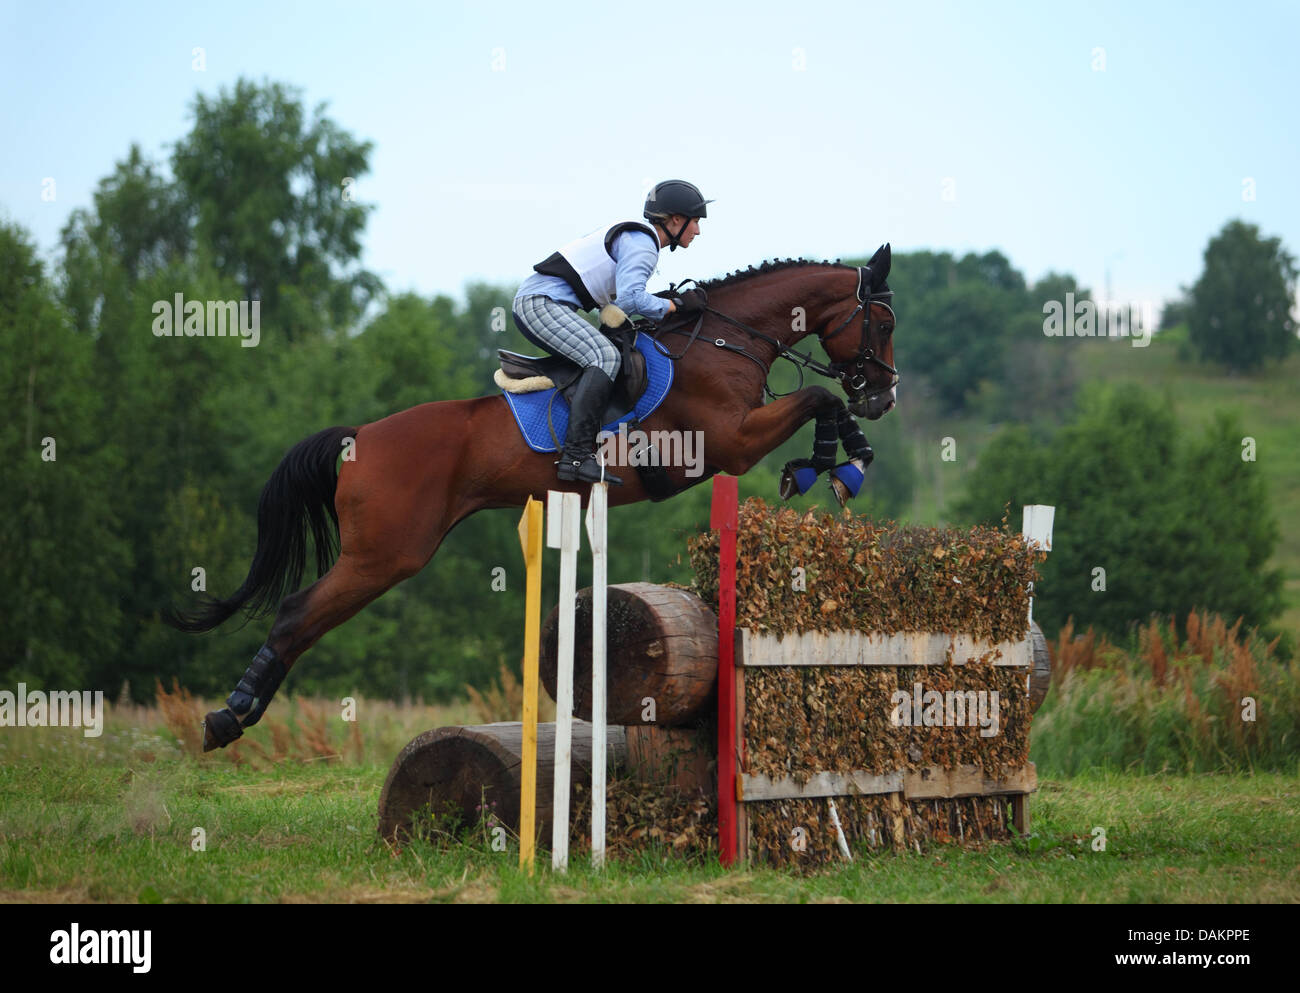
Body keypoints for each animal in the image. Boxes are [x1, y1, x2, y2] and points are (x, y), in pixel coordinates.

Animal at [167, 244, 904, 748]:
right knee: (297, 614)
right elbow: (819, 397)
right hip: (384, 555)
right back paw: (227, 717)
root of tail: (360, 437)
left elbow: (822, 400)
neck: (726, 338)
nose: (886, 395)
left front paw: (845, 456)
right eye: (884, 324)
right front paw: (832, 464)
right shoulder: (728, 443)